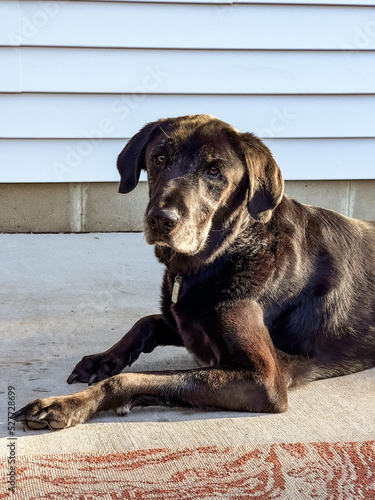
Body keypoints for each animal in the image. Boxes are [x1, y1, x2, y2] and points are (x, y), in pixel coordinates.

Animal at [12, 114, 375, 430]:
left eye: (214, 171)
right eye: (158, 158)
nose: (161, 219)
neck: (219, 256)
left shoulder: (264, 378)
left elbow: (130, 379)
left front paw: (66, 404)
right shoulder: (185, 322)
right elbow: (146, 323)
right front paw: (103, 360)